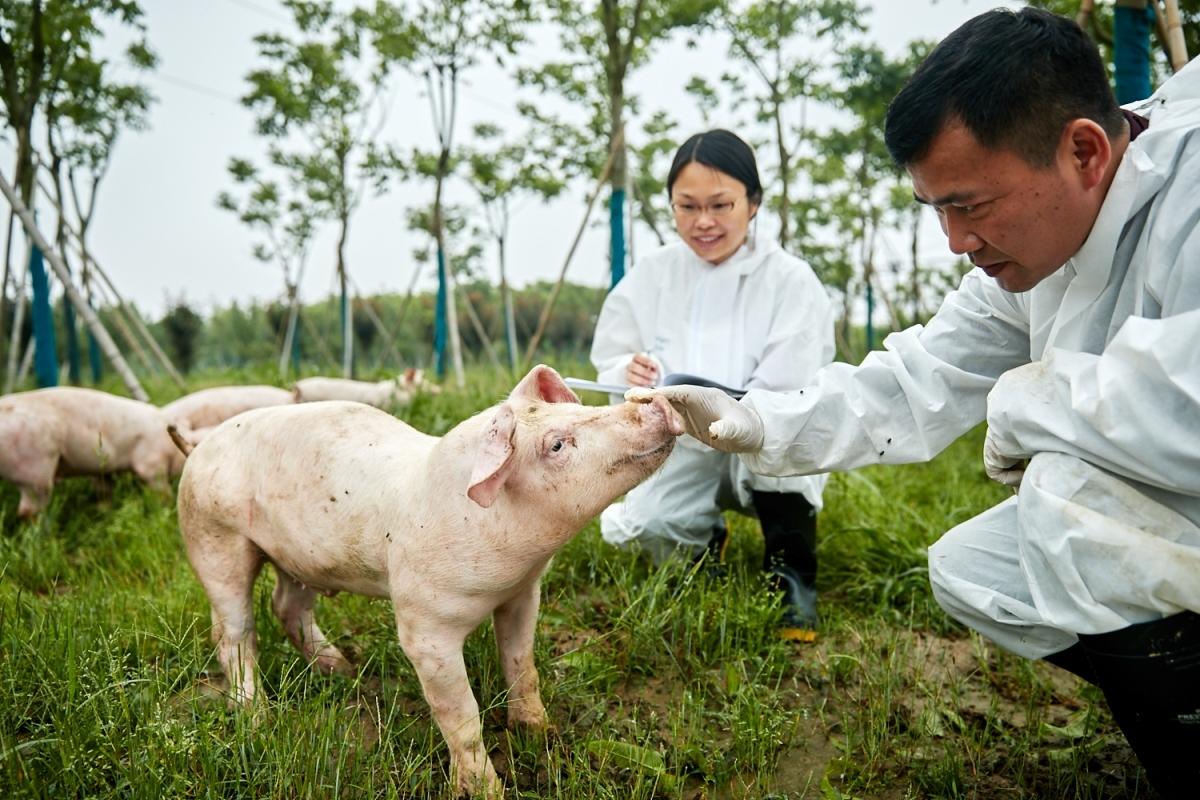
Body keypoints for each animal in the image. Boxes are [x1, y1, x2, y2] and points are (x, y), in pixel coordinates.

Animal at [0, 388, 194, 520]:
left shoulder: (104, 471)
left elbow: (104, 492)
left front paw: (104, 512)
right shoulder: (151, 463)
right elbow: (161, 490)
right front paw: (165, 508)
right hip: (33, 469)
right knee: (28, 511)